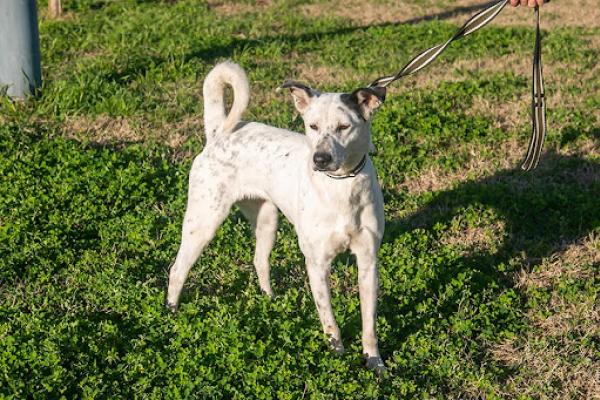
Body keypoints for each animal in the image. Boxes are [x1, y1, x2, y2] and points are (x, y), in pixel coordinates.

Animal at [166, 61, 386, 374]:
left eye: (344, 127)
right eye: (312, 126)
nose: (319, 159)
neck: (342, 185)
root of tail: (219, 132)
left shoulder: (368, 262)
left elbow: (369, 325)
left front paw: (374, 363)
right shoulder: (317, 264)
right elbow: (330, 322)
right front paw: (337, 359)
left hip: (267, 220)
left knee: (259, 260)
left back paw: (270, 301)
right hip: (204, 220)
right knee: (177, 268)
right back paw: (172, 313)